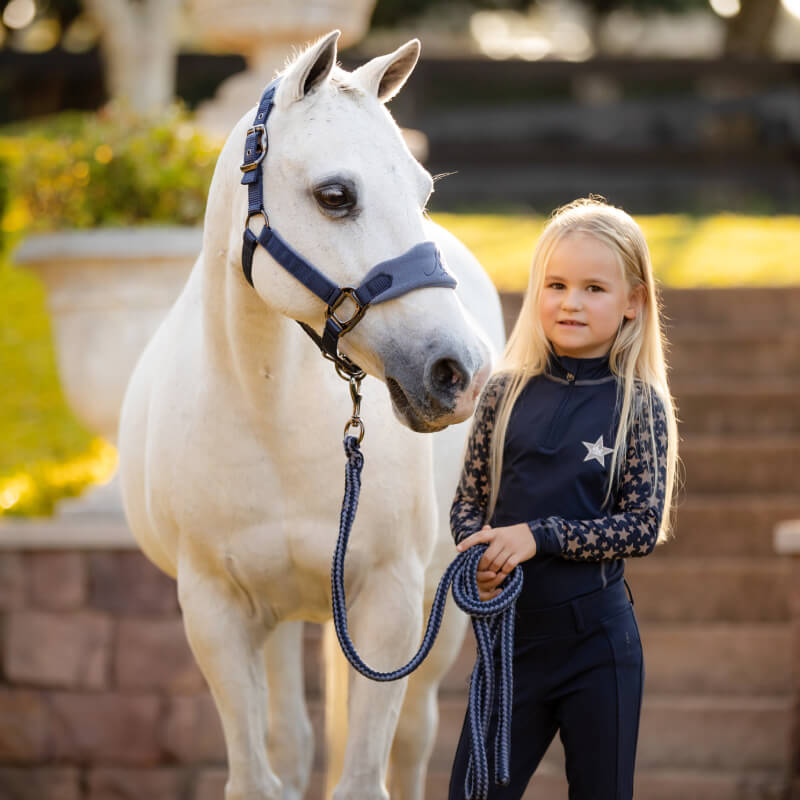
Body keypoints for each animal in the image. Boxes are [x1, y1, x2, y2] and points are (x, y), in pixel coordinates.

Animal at [119, 31, 504, 800]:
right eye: (335, 196)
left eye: (422, 191)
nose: (460, 372)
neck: (271, 415)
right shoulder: (216, 612)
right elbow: (258, 774)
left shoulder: (390, 604)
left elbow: (366, 775)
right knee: (293, 742)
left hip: (439, 610)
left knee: (412, 741)